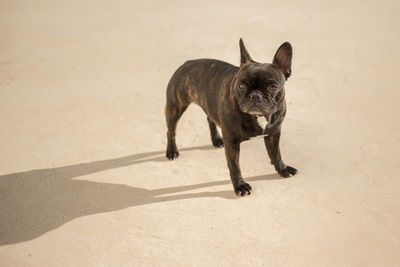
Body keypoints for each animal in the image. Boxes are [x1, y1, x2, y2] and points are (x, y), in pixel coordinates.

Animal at [163, 39, 296, 198]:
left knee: (210, 119)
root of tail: (187, 63)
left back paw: (216, 140)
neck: (258, 116)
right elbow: (234, 165)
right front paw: (240, 186)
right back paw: (171, 151)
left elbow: (276, 153)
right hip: (175, 106)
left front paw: (283, 169)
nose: (255, 95)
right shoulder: (232, 141)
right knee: (171, 129)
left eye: (273, 87)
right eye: (241, 85)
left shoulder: (274, 133)